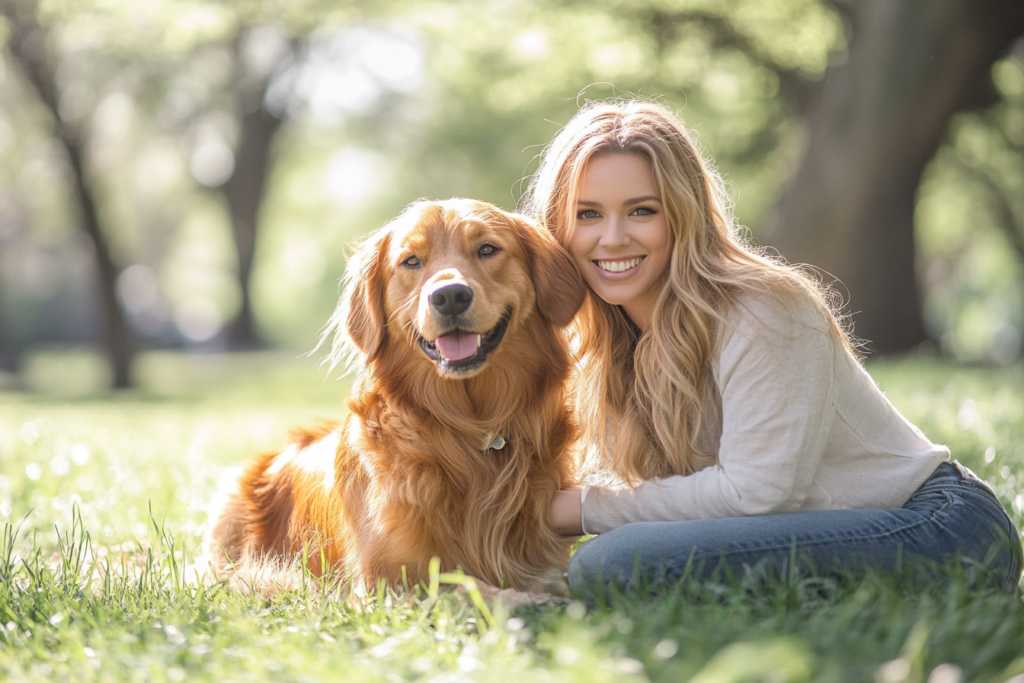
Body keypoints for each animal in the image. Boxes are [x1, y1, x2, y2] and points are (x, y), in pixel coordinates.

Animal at [201, 196, 585, 593]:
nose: (450, 296)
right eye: (411, 261)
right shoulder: (384, 579)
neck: (470, 426)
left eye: (487, 249)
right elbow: (466, 586)